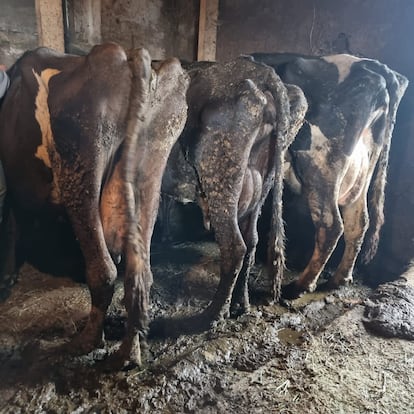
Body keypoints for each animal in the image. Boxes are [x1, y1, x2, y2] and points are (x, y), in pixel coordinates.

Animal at [0, 42, 189, 368]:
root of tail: (130, 57)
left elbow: (10, 223)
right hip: (153, 160)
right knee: (140, 272)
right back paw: (130, 352)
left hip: (82, 163)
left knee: (103, 271)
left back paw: (87, 341)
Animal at [152, 58, 308, 336]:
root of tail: (263, 72)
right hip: (260, 186)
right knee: (252, 240)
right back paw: (240, 304)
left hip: (221, 175)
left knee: (235, 246)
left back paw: (210, 317)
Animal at [251, 52, 410, 298]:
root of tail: (375, 69)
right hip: (361, 172)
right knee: (359, 222)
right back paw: (339, 278)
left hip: (321, 167)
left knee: (331, 225)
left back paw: (302, 285)